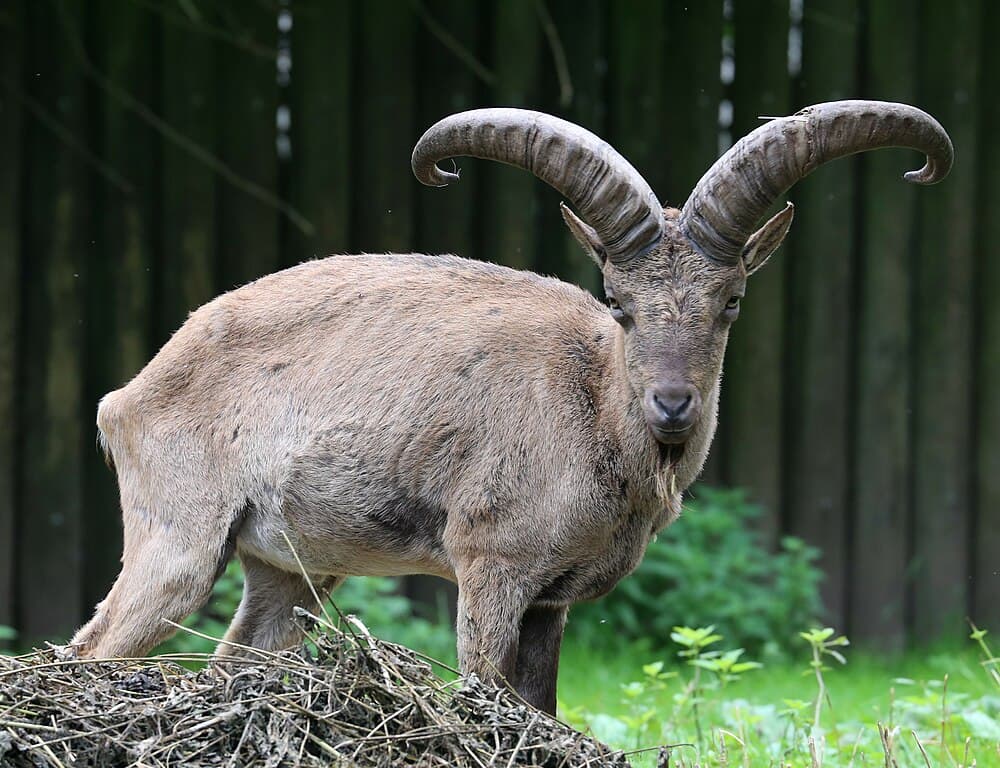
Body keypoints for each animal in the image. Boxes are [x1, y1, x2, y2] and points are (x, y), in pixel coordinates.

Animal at [72, 100, 952, 714]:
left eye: (731, 300)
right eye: (618, 301)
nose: (672, 406)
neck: (594, 408)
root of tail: (130, 394)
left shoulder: (549, 604)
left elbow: (542, 708)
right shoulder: (490, 566)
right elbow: (483, 687)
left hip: (291, 569)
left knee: (233, 655)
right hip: (180, 538)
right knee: (97, 646)